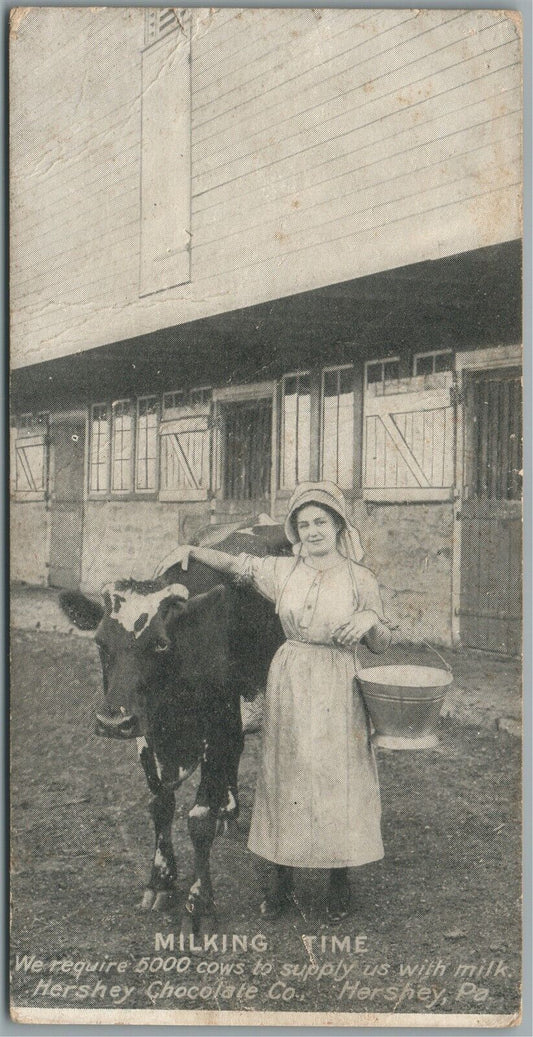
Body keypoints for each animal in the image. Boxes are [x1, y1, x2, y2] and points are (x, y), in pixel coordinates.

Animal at [59, 522, 288, 929]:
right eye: (100, 643)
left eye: (161, 644)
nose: (112, 721)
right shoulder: (146, 733)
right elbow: (161, 805)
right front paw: (161, 882)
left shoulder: (219, 727)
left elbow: (198, 819)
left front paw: (200, 900)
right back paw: (228, 811)